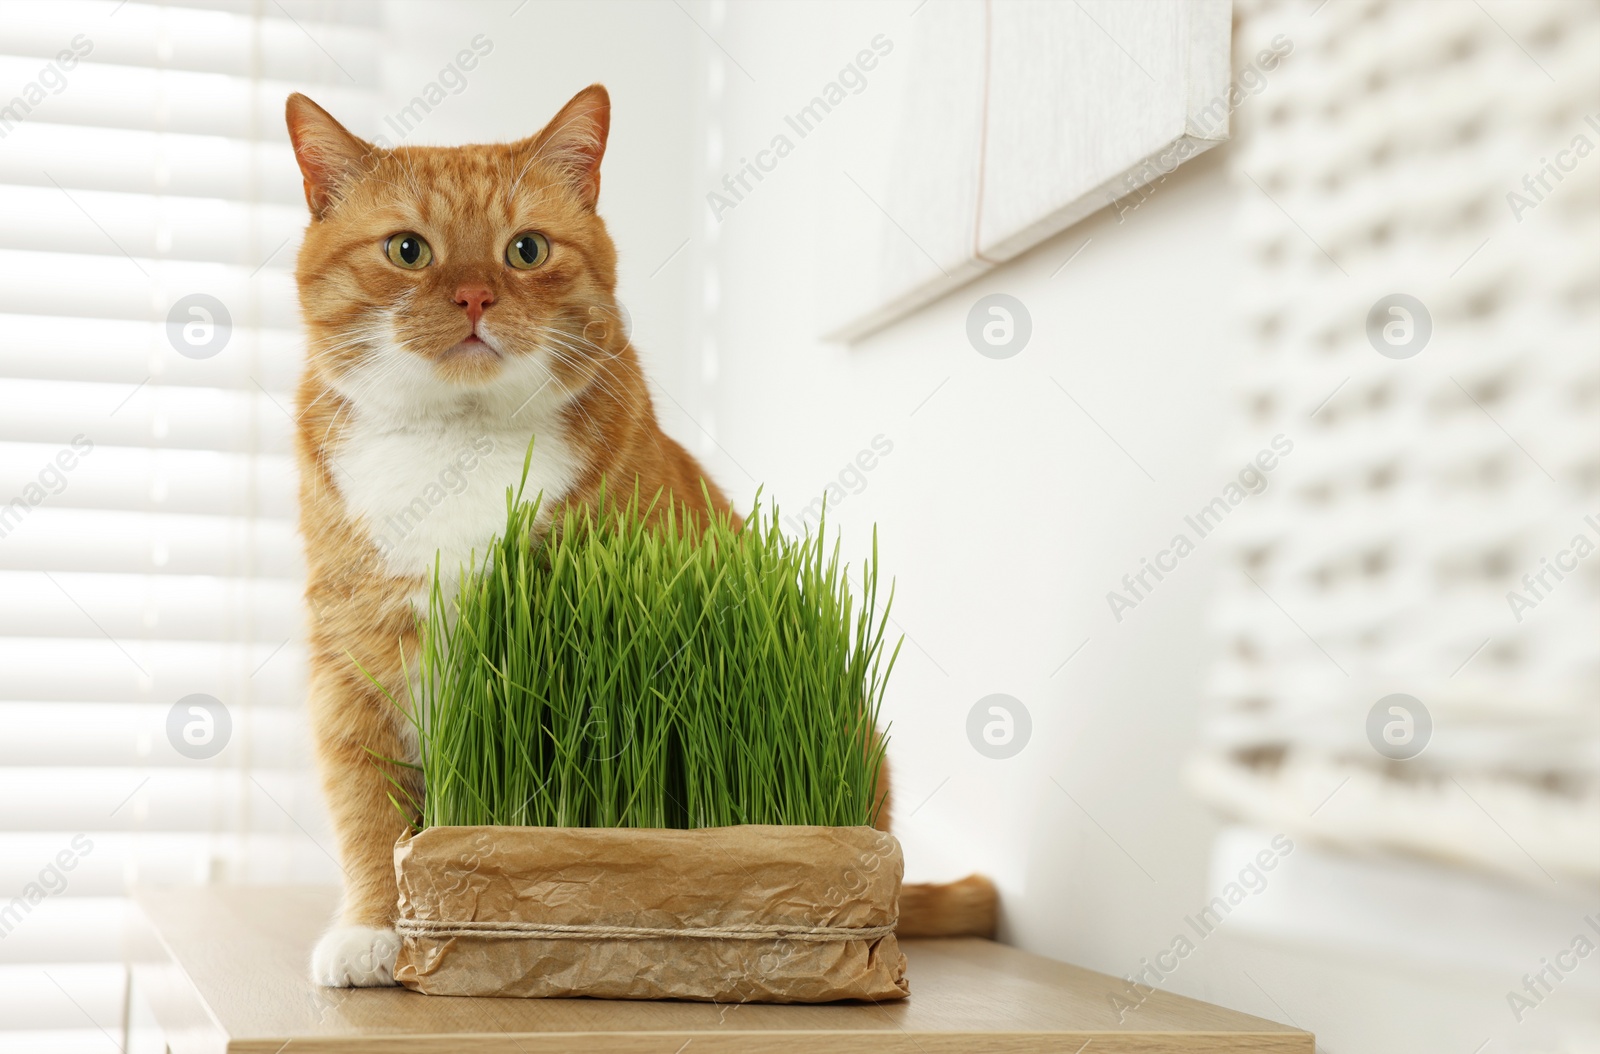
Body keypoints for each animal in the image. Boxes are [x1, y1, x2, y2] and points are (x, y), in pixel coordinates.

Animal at [281, 86, 992, 985]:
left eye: (526, 250)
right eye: (408, 251)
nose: (475, 297)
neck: (459, 444)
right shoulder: (351, 665)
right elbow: (369, 818)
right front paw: (374, 929)